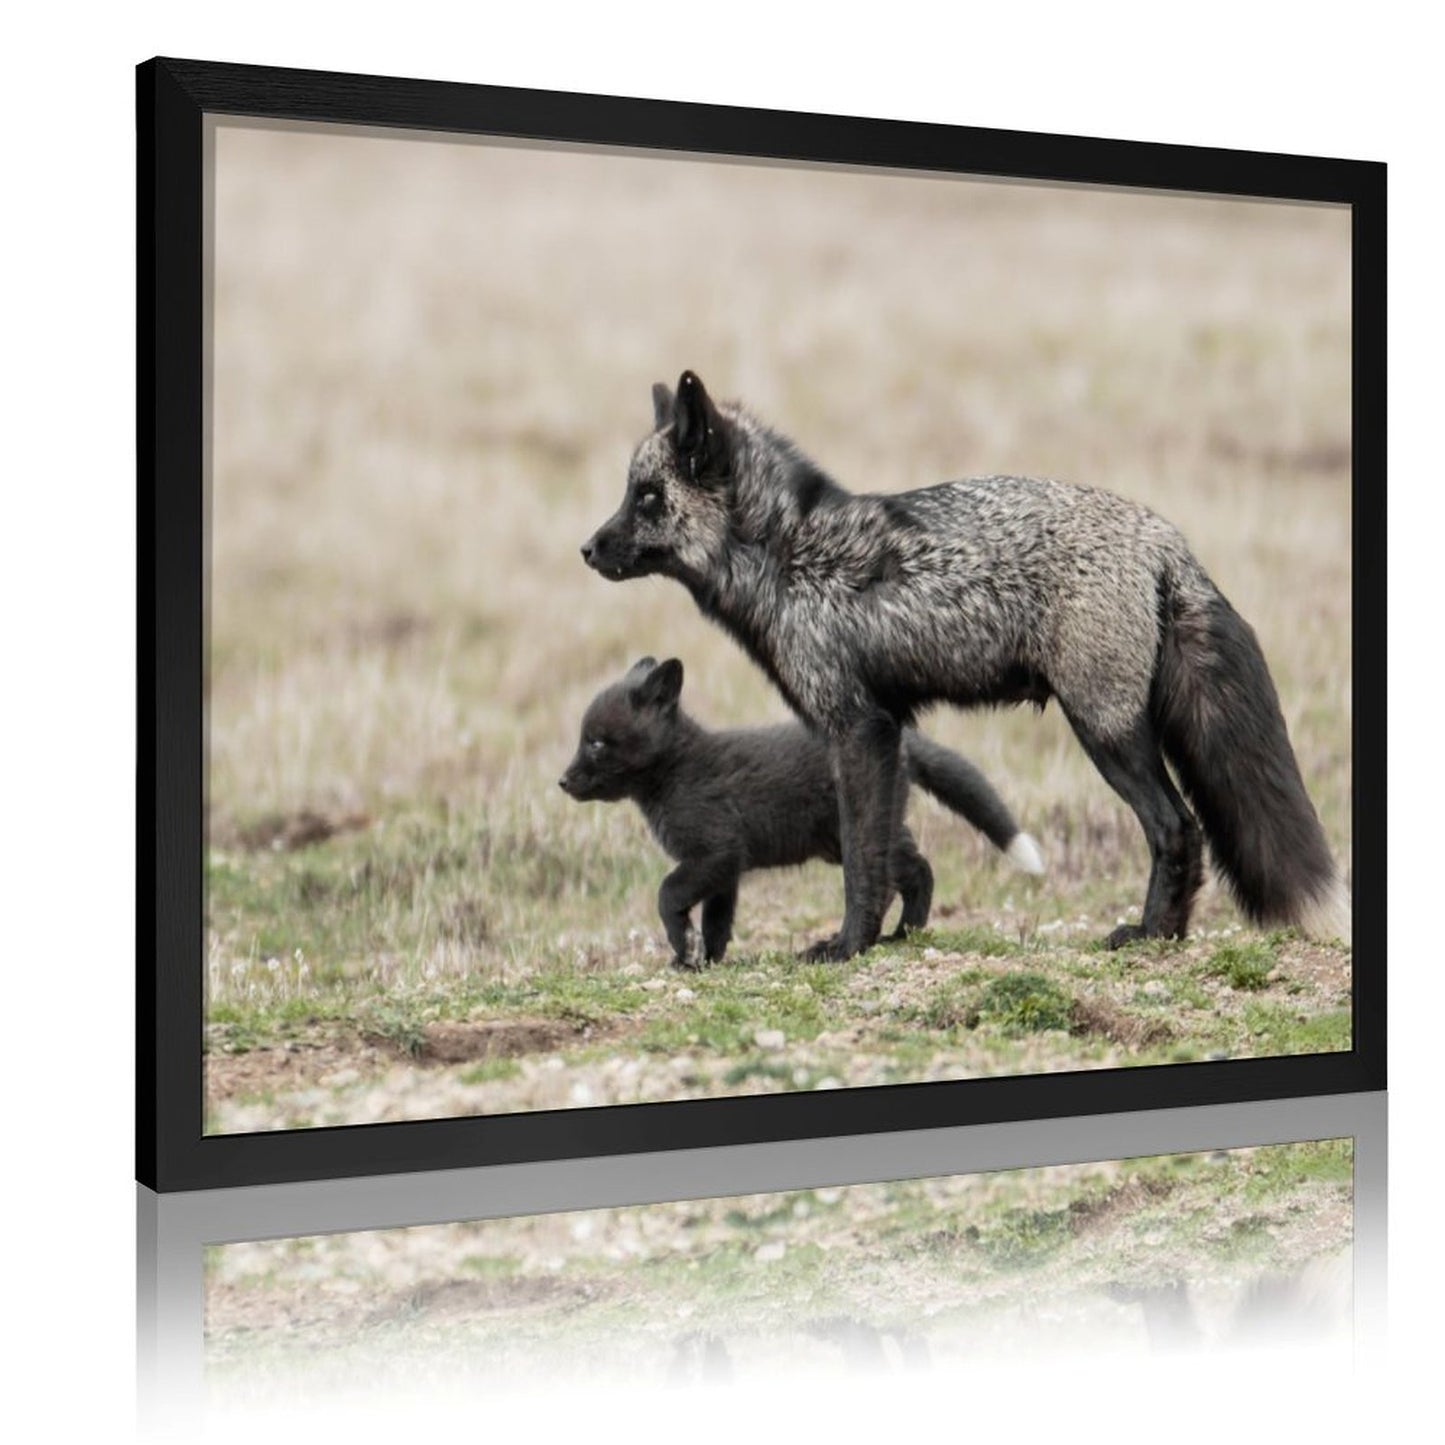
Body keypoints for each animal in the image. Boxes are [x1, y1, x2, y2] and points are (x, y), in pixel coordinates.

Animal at [558, 656, 1044, 969]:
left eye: (595, 742)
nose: (563, 781)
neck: (677, 772)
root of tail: (907, 742)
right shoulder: (726, 867)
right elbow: (718, 918)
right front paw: (704, 960)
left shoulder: (714, 850)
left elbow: (667, 894)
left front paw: (684, 947)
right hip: (854, 836)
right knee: (911, 868)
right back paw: (906, 931)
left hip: (850, 834)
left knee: (906, 872)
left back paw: (895, 933)